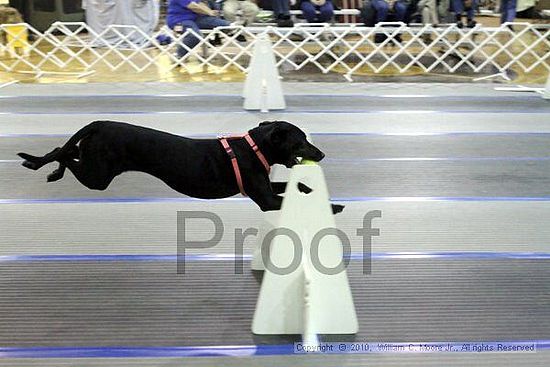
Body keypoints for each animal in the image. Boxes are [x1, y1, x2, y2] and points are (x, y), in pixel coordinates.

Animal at [19, 119, 344, 214]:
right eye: (301, 141)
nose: (322, 154)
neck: (254, 147)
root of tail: (100, 124)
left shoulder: (264, 186)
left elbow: (293, 184)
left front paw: (309, 189)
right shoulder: (265, 199)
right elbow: (285, 195)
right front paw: (335, 206)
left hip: (94, 166)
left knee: (64, 150)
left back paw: (45, 167)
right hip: (97, 175)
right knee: (63, 153)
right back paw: (48, 169)